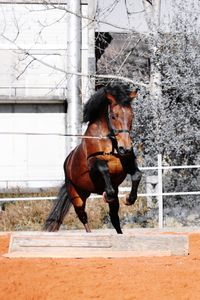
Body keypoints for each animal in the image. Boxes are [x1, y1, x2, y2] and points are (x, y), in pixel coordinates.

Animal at [43, 84, 141, 234]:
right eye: (114, 116)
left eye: (132, 115)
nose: (126, 148)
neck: (109, 142)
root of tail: (67, 163)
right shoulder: (92, 162)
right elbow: (103, 168)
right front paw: (108, 194)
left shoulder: (128, 164)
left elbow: (137, 175)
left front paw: (129, 199)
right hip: (77, 197)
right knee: (83, 217)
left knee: (114, 218)